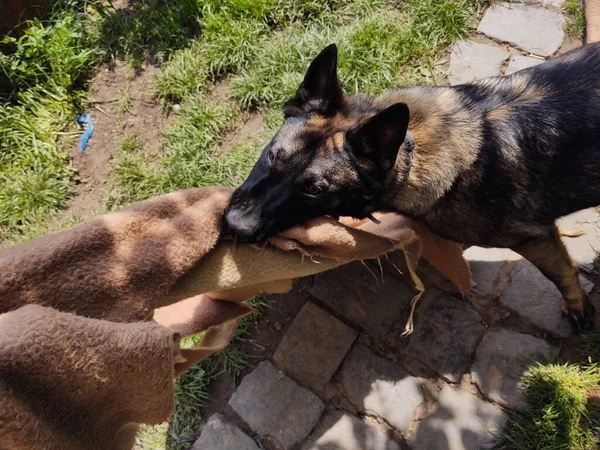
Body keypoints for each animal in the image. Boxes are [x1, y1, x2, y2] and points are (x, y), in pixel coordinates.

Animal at [223, 43, 600, 330]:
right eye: (273, 155)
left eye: (314, 190)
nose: (232, 226)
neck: (411, 150)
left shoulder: (535, 238)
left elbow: (563, 274)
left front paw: (578, 309)